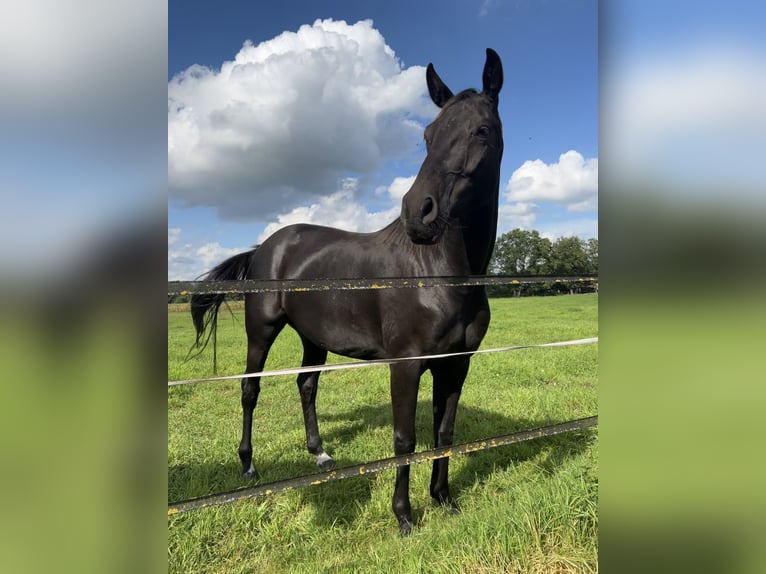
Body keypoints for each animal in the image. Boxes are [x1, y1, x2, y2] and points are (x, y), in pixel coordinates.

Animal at [192, 49, 504, 536]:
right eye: (427, 135)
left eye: (482, 130)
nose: (417, 213)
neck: (440, 275)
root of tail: (267, 246)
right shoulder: (406, 365)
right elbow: (405, 438)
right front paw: (404, 516)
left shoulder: (455, 365)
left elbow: (444, 434)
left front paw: (444, 499)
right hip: (261, 331)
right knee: (249, 390)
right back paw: (247, 465)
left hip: (313, 338)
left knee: (306, 385)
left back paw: (319, 454)